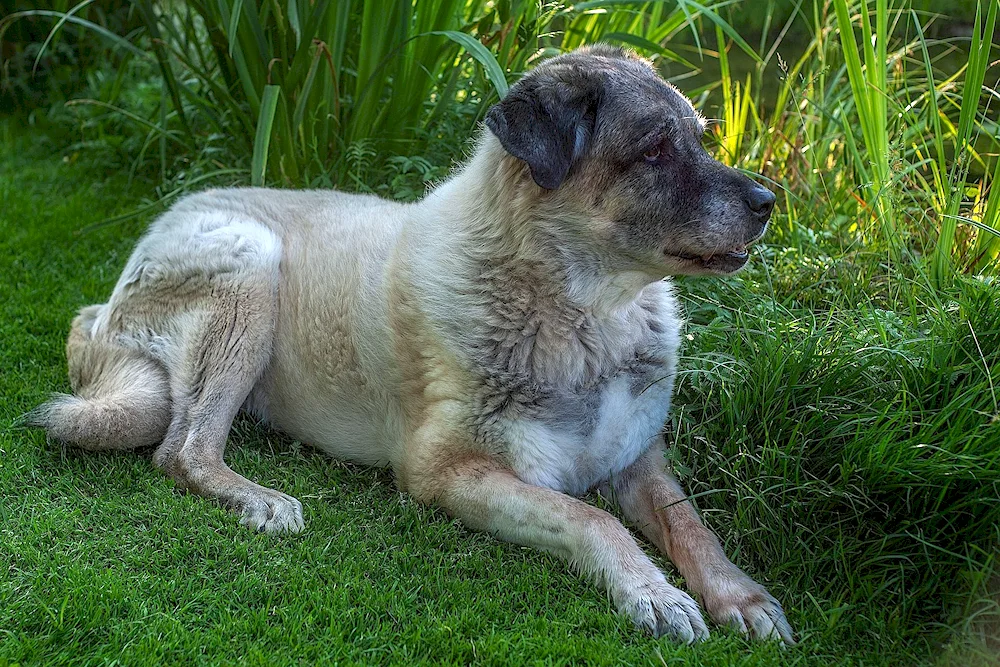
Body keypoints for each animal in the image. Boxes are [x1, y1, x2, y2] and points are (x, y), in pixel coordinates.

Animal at [31, 45, 792, 640]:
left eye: (700, 137)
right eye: (655, 149)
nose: (768, 201)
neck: (589, 314)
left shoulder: (636, 457)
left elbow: (692, 525)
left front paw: (741, 597)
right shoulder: (447, 473)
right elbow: (592, 519)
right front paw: (655, 592)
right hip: (253, 267)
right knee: (181, 449)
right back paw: (259, 497)